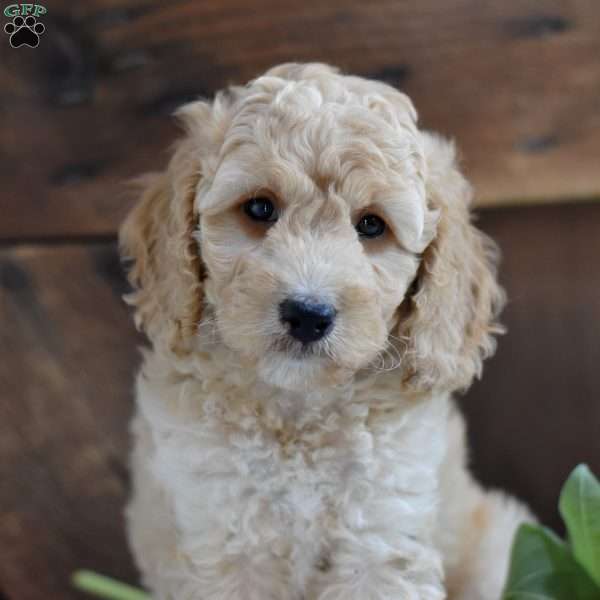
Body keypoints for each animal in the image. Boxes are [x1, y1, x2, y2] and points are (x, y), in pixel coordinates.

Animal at [119, 63, 532, 596]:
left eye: (372, 226)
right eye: (259, 209)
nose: (308, 315)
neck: (298, 413)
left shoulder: (380, 534)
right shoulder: (224, 536)